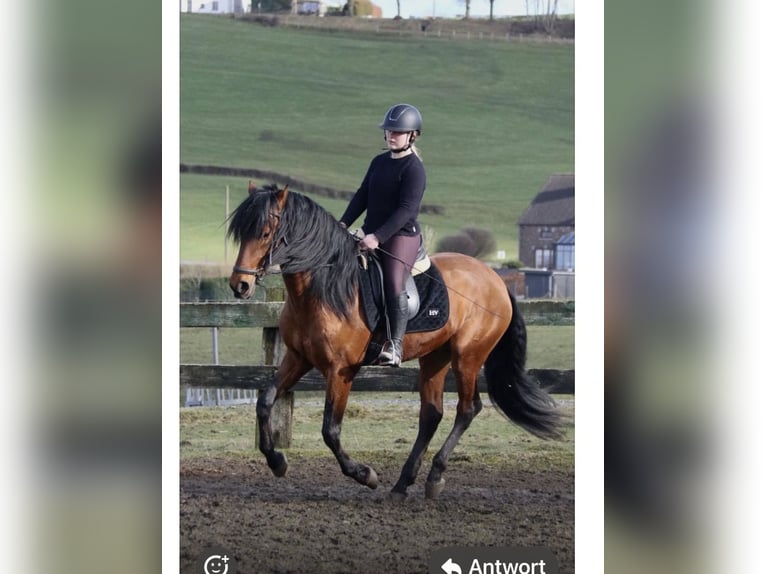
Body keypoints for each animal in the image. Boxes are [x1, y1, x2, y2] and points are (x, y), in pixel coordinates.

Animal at [228, 183, 563, 499]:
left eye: (266, 232)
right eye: (241, 233)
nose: (239, 285)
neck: (323, 290)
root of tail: (496, 280)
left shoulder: (340, 370)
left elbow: (330, 430)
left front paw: (365, 474)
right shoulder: (298, 357)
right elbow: (265, 401)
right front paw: (277, 462)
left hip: (467, 356)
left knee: (467, 409)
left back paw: (434, 477)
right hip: (435, 356)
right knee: (431, 413)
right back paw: (403, 484)